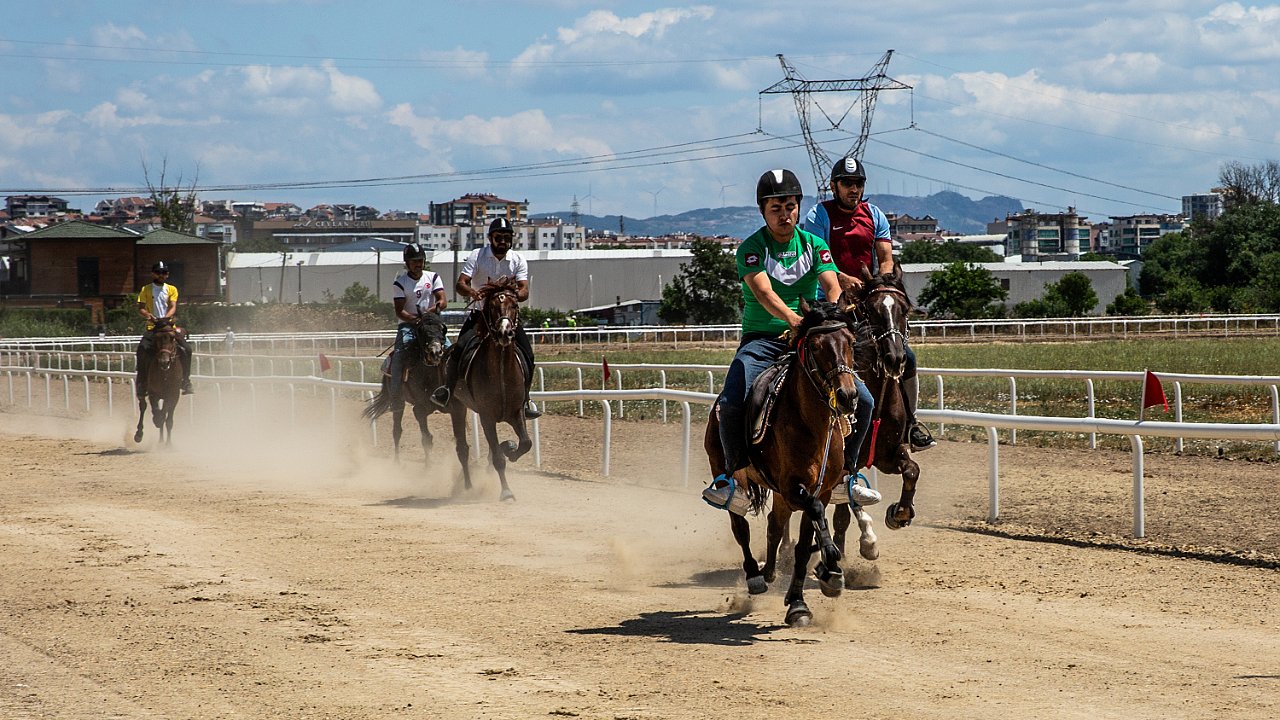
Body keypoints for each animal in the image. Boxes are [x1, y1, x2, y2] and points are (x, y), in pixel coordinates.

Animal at [362, 312, 449, 464]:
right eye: (422, 331)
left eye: (442, 329)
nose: (435, 352)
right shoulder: (420, 409)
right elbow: (426, 438)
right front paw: (428, 465)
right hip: (398, 401)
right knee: (397, 430)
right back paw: (397, 462)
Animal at [444, 277, 534, 502]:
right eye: (492, 307)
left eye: (514, 305)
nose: (505, 333)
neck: (501, 371)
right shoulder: (487, 417)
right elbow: (498, 458)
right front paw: (507, 492)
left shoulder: (516, 412)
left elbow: (525, 443)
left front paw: (510, 449)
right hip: (457, 407)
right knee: (462, 449)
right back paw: (466, 485)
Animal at [703, 301, 861, 627]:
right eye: (815, 346)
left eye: (851, 342)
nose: (848, 396)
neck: (812, 425)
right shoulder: (793, 487)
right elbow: (815, 515)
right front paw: (829, 561)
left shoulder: (821, 489)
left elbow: (802, 545)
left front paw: (801, 600)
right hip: (727, 472)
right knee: (740, 526)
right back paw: (754, 575)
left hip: (778, 494)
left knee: (774, 525)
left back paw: (770, 571)